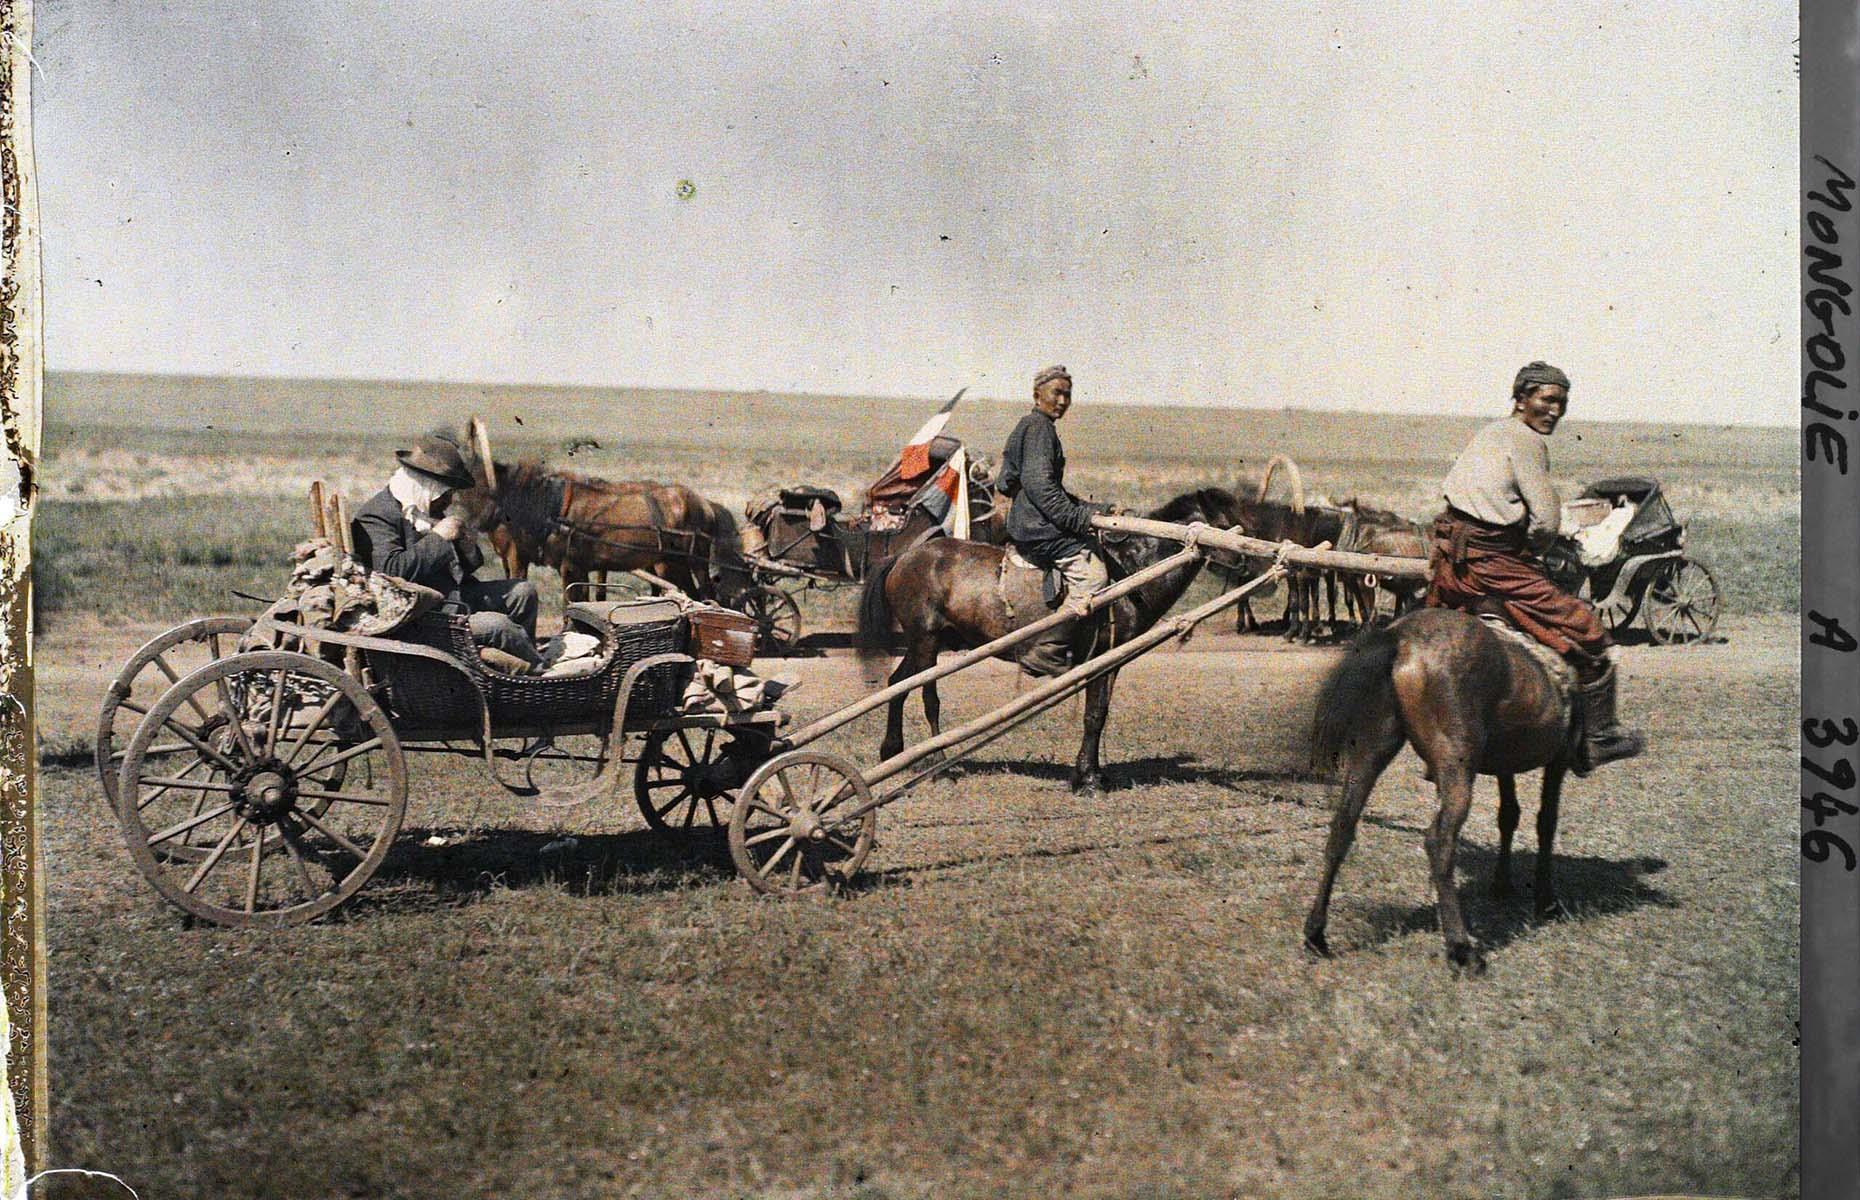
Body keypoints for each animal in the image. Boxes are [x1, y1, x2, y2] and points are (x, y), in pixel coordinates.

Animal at [851, 487, 1235, 796]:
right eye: (1223, 521)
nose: (1242, 560)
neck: (1131, 570)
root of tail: (903, 557)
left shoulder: (1111, 660)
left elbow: (1100, 713)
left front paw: (1092, 774)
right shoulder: (1100, 656)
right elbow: (1093, 715)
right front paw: (1088, 781)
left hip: (927, 642)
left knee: (897, 684)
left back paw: (893, 751)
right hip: (926, 640)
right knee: (928, 697)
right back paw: (937, 763)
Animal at [1302, 610, 1577, 974]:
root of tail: (1401, 639)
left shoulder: (1507, 762)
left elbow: (1509, 815)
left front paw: (1503, 885)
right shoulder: (1559, 758)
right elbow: (1546, 821)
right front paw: (1546, 900)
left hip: (1372, 750)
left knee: (1342, 827)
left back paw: (1316, 934)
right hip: (1456, 766)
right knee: (1440, 841)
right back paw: (1462, 949)